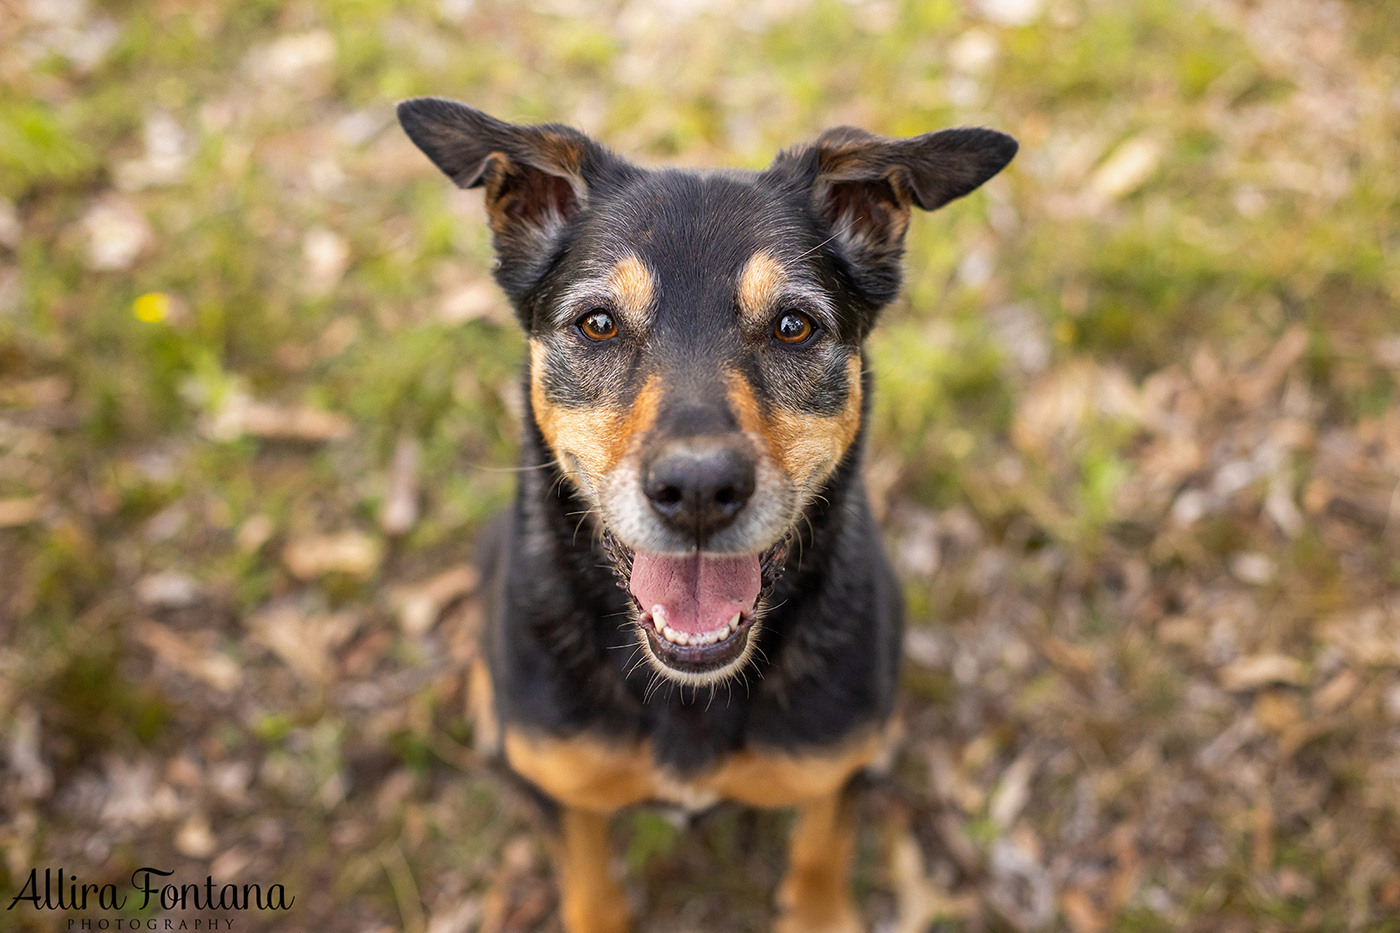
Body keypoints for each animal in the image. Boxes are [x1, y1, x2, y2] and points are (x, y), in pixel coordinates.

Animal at [397, 98, 1019, 924]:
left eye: (794, 325)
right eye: (598, 323)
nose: (697, 489)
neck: (689, 689)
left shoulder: (834, 765)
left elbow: (823, 848)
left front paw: (818, 910)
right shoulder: (569, 790)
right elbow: (589, 886)